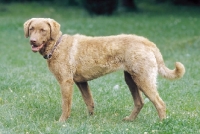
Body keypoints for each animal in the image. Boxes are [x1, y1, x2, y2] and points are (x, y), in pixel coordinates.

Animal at [23, 18, 186, 122]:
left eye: (43, 30)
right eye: (31, 29)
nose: (32, 41)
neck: (57, 45)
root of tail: (148, 42)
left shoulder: (66, 82)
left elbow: (66, 105)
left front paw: (61, 122)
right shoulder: (81, 82)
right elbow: (89, 101)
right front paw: (89, 119)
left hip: (143, 79)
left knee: (160, 103)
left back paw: (162, 123)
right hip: (131, 79)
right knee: (140, 102)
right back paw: (129, 120)